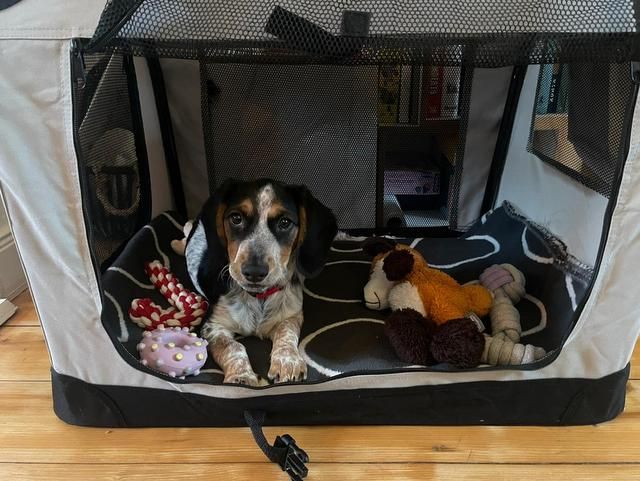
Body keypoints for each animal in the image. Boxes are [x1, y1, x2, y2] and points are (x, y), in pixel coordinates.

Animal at [173, 178, 337, 386]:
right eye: (236, 218)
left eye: (285, 222)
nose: (254, 272)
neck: (258, 297)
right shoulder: (213, 326)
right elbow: (233, 347)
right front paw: (241, 376)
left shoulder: (291, 315)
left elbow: (286, 333)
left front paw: (287, 362)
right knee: (185, 237)